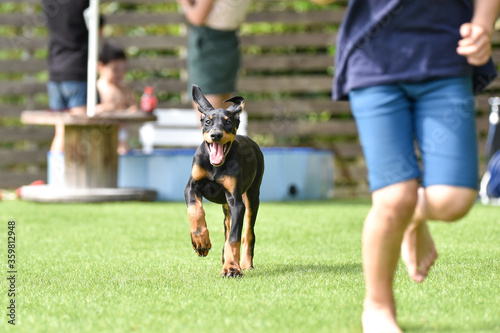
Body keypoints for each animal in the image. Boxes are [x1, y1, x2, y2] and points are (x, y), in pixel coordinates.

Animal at [185, 84, 266, 276]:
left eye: (228, 122)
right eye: (208, 122)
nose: (215, 135)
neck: (216, 167)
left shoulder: (236, 201)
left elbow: (234, 238)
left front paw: (231, 268)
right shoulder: (191, 187)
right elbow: (195, 210)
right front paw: (200, 242)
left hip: (251, 196)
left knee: (247, 233)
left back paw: (243, 263)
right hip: (226, 207)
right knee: (228, 228)